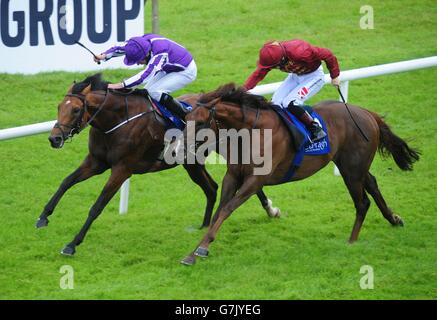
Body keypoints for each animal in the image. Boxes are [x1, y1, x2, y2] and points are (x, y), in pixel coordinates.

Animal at [35, 74, 278, 256]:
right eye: (59, 106)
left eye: (76, 110)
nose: (54, 138)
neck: (116, 121)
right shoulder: (96, 161)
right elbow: (66, 181)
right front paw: (43, 217)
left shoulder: (122, 169)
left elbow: (97, 206)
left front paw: (72, 244)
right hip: (192, 163)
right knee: (212, 188)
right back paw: (205, 225)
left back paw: (270, 209)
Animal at [181, 83, 418, 264]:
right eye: (186, 119)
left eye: (200, 122)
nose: (181, 147)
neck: (251, 131)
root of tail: (367, 113)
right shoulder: (233, 175)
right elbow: (219, 211)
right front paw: (195, 250)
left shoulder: (256, 180)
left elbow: (227, 209)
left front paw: (200, 250)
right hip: (353, 166)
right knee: (373, 184)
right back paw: (394, 219)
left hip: (351, 170)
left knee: (362, 203)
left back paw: (351, 241)